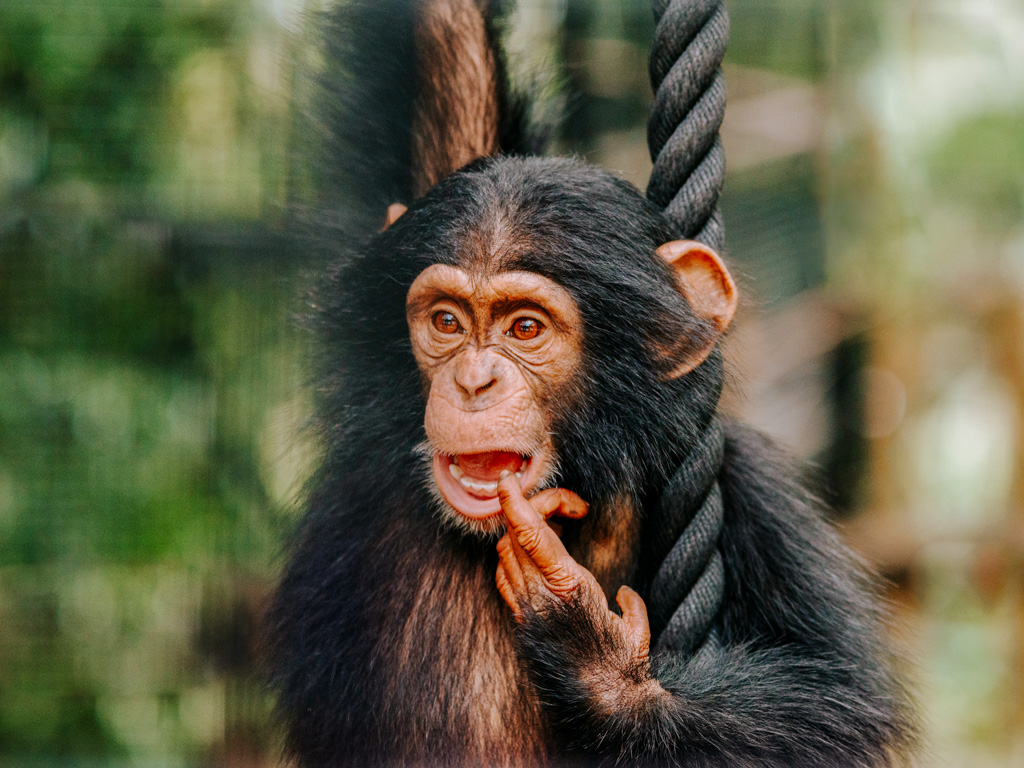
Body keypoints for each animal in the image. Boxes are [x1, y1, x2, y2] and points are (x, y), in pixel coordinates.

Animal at [266, 0, 916, 766]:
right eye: (447, 321)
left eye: (524, 328)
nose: (474, 381)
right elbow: (440, 54)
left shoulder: (745, 482)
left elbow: (830, 700)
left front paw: (591, 649)